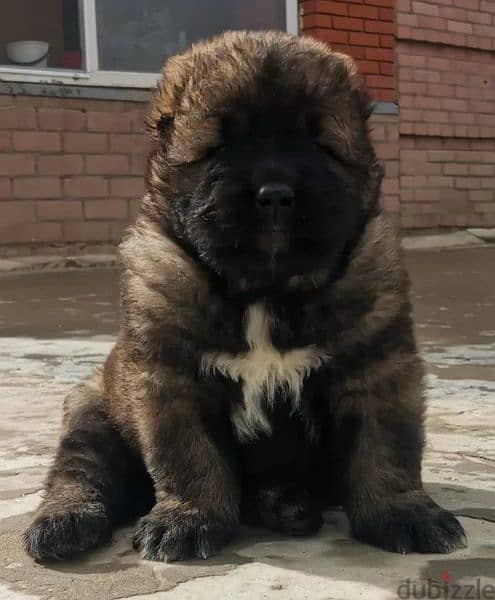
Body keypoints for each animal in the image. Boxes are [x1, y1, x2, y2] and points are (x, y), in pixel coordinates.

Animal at [24, 29, 464, 564]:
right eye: (222, 145)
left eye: (317, 142)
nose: (274, 193)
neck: (264, 293)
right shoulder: (171, 380)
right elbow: (188, 457)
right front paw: (187, 520)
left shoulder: (378, 365)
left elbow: (386, 448)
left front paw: (404, 513)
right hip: (91, 411)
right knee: (79, 472)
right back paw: (63, 523)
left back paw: (284, 504)